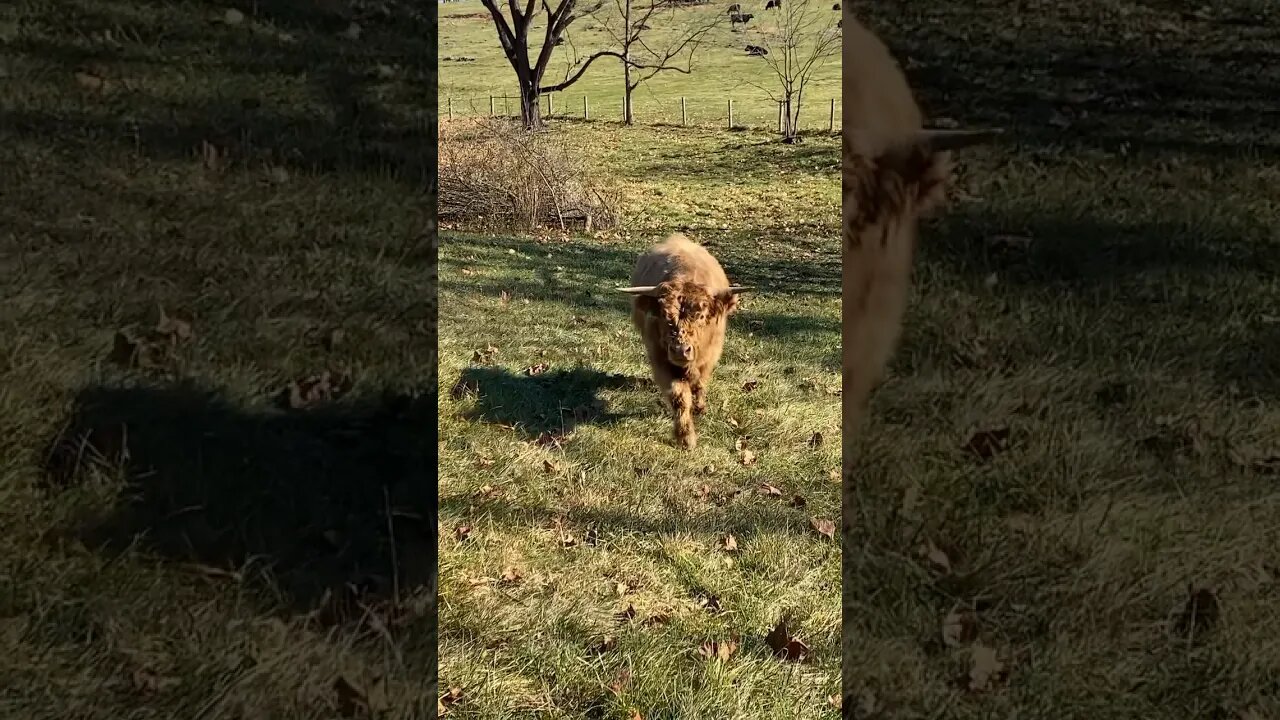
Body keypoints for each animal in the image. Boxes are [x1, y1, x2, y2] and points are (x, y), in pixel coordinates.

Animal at [619, 235, 747, 445]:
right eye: (664, 316)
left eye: (701, 316)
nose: (680, 350)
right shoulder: (660, 360)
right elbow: (679, 397)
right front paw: (685, 437)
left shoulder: (710, 357)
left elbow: (700, 383)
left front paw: (700, 407)